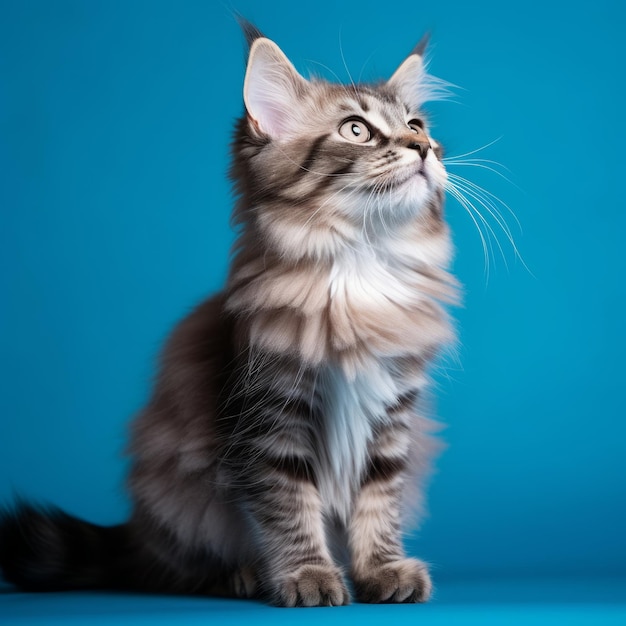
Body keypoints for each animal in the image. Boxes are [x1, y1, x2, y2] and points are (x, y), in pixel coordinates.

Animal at [0, 23, 458, 604]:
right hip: (178, 492)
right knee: (173, 566)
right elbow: (289, 507)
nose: (425, 148)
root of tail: (136, 531)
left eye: (416, 125)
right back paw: (239, 575)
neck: (359, 268)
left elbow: (379, 502)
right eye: (356, 130)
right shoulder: (267, 419)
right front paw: (308, 575)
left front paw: (382, 570)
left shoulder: (392, 419)